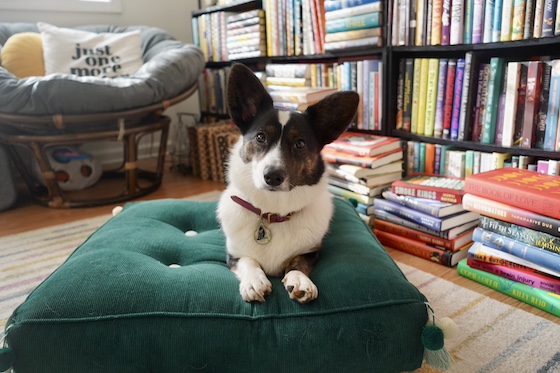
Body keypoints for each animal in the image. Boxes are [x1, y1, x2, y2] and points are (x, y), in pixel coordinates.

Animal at [217, 64, 356, 302]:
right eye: (260, 137)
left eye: (299, 143)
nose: (272, 176)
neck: (274, 211)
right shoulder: (234, 255)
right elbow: (248, 261)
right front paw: (254, 281)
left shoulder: (310, 252)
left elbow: (297, 262)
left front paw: (299, 280)